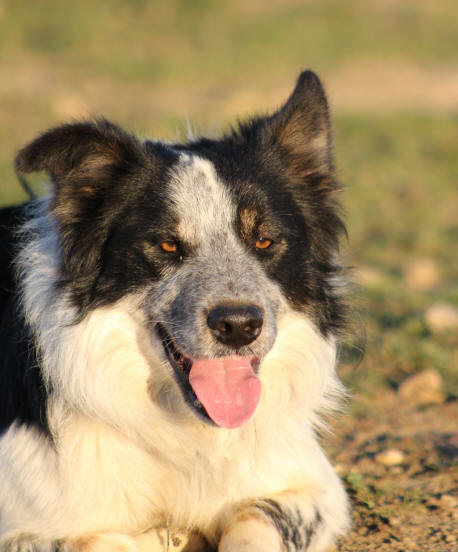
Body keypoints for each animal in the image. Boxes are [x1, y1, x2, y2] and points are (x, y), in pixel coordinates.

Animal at [0, 71, 350, 548]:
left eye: (264, 240)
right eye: (167, 245)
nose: (239, 326)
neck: (184, 430)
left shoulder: (313, 487)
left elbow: (254, 520)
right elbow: (101, 539)